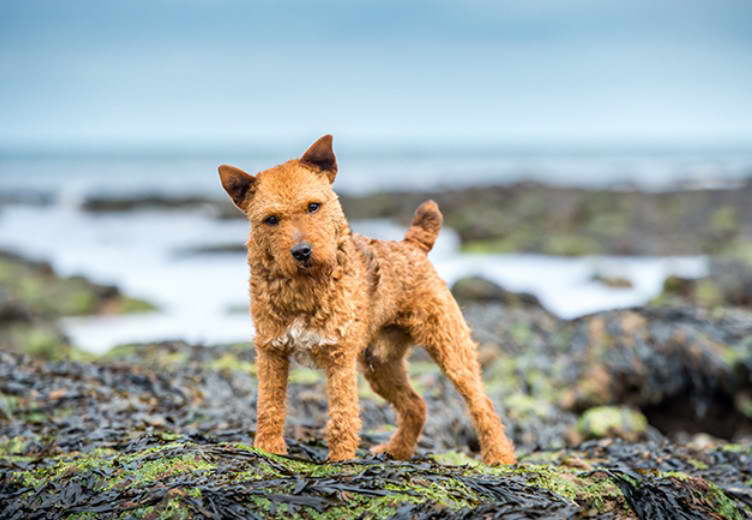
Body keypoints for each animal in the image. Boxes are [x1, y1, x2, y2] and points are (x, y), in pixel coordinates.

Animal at [217, 136, 516, 466]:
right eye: (271, 219)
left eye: (313, 206)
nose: (302, 252)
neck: (304, 288)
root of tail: (412, 245)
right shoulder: (271, 351)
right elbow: (269, 405)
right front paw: (268, 450)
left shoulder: (339, 356)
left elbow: (343, 414)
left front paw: (341, 460)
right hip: (379, 364)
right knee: (416, 405)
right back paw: (396, 450)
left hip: (450, 347)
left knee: (481, 403)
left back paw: (499, 456)